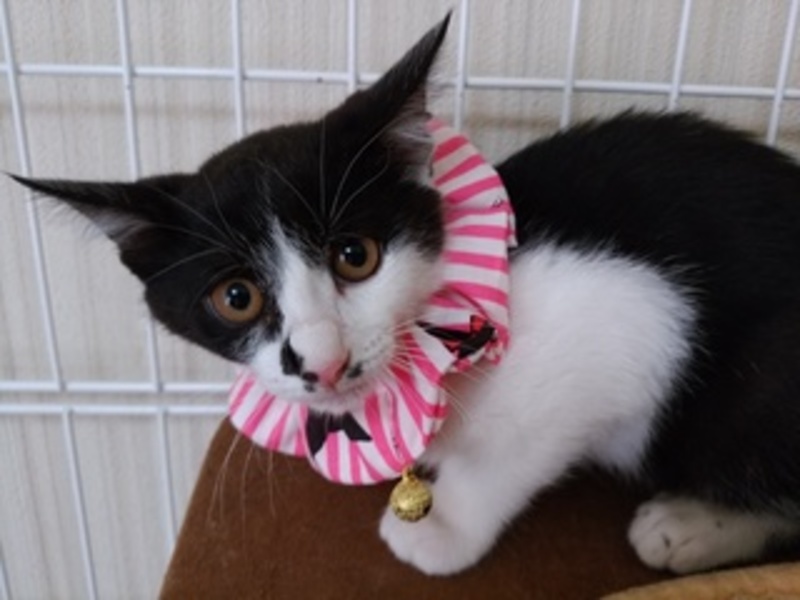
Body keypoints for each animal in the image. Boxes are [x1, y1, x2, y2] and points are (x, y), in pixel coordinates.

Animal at [14, 14, 800, 576]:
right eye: (235, 297)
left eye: (355, 256)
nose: (321, 362)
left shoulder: (629, 321)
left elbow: (514, 452)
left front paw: (443, 528)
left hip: (751, 385)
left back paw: (690, 526)